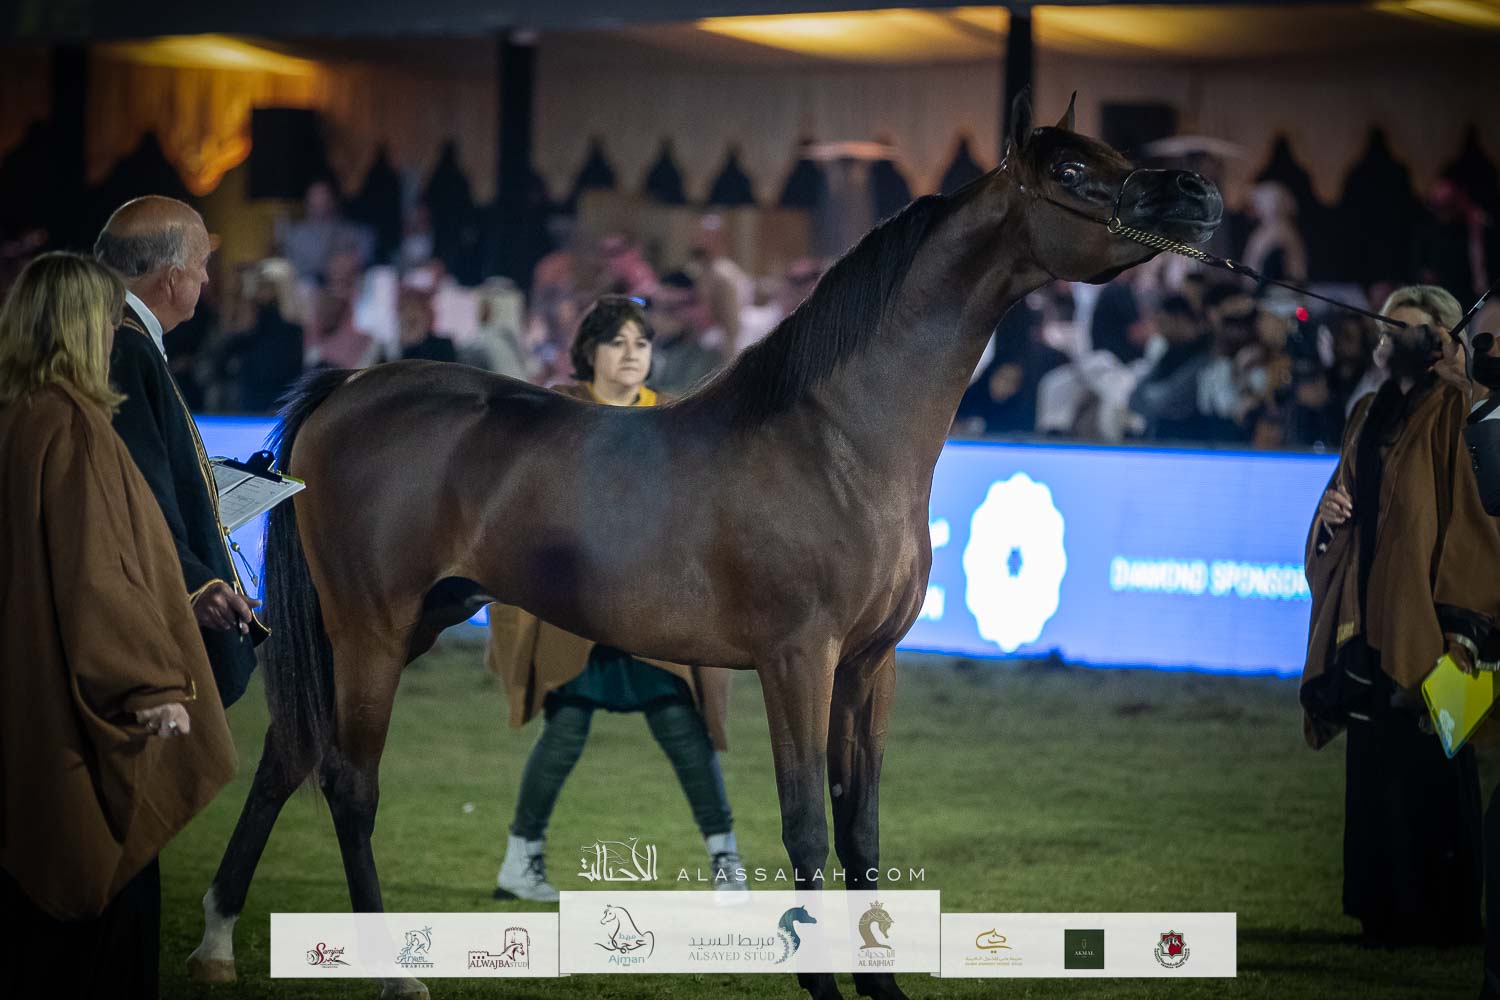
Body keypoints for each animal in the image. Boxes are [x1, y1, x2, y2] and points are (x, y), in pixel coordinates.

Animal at [187, 94, 1221, 1000]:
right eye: (1075, 172)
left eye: (1110, 151)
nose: (1198, 193)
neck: (838, 439)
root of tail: (348, 388)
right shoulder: (799, 659)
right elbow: (806, 827)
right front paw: (823, 985)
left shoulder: (871, 665)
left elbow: (861, 828)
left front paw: (880, 986)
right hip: (370, 624)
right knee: (348, 781)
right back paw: (392, 973)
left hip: (394, 622)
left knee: (286, 756)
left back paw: (215, 941)